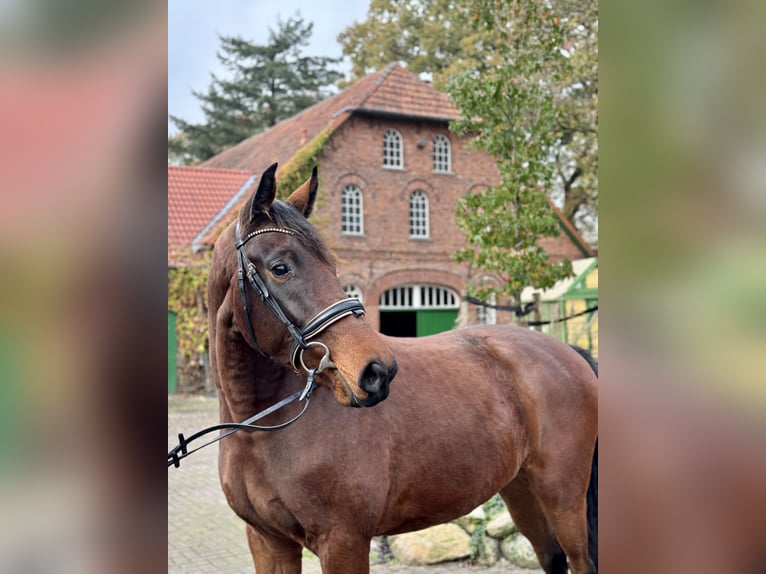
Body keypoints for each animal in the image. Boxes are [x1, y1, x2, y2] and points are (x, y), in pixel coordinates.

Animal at [208, 163, 600, 574]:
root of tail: (568, 353)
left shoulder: (344, 542)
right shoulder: (269, 542)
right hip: (520, 490)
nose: (377, 371)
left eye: (333, 266)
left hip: (562, 495)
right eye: (280, 268)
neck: (260, 431)